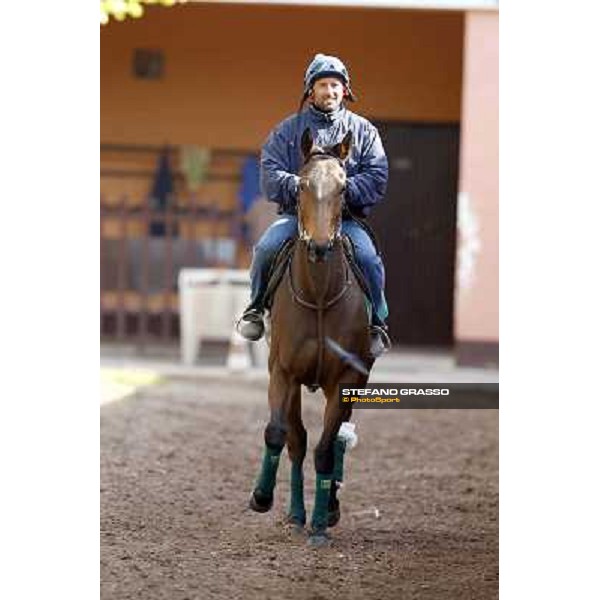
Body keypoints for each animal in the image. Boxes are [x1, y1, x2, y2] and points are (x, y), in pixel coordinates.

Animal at [247, 127, 370, 548]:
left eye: (344, 186)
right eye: (300, 185)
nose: (318, 245)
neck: (318, 295)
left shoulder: (347, 381)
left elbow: (325, 450)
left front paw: (320, 524)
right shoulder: (283, 373)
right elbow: (278, 434)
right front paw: (262, 497)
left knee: (335, 442)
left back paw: (323, 511)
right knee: (296, 439)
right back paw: (296, 513)